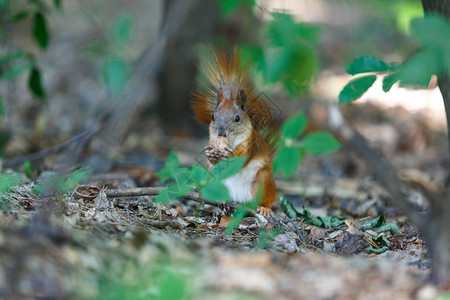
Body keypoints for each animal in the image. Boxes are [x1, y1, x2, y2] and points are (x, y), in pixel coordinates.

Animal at [191, 49, 276, 218]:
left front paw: (227, 154)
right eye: (213, 117)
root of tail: (239, 198)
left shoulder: (250, 145)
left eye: (237, 118)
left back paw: (264, 208)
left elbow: (242, 157)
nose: (221, 133)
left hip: (263, 181)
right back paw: (222, 201)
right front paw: (210, 153)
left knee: (266, 198)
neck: (231, 141)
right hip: (216, 180)